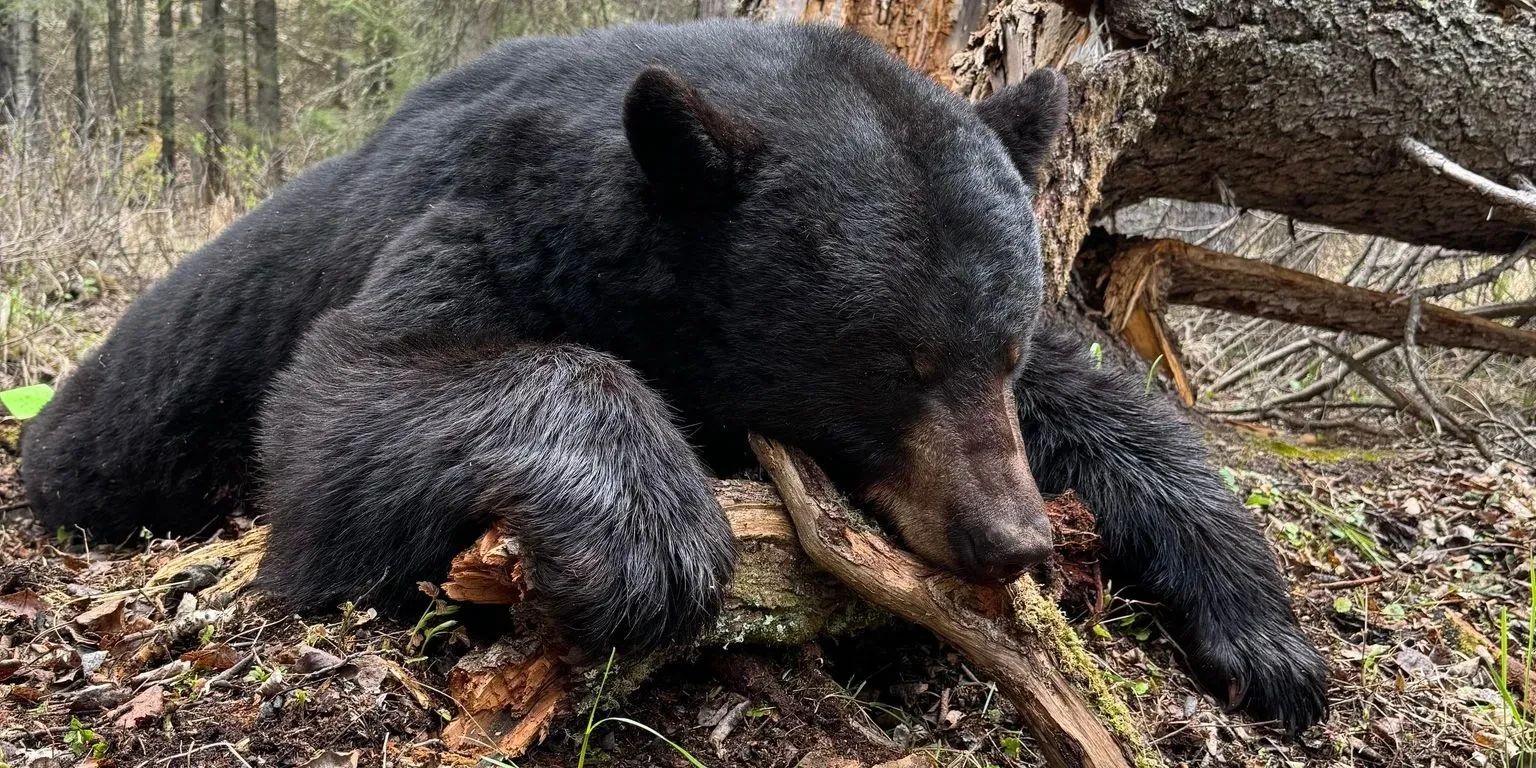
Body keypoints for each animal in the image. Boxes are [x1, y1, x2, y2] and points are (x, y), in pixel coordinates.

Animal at [19, 21, 1327, 732]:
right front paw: (651, 534)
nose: (1012, 539)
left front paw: (1265, 638)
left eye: (990, 351)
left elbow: (1110, 408)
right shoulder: (488, 219)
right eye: (889, 364)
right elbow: (348, 402)